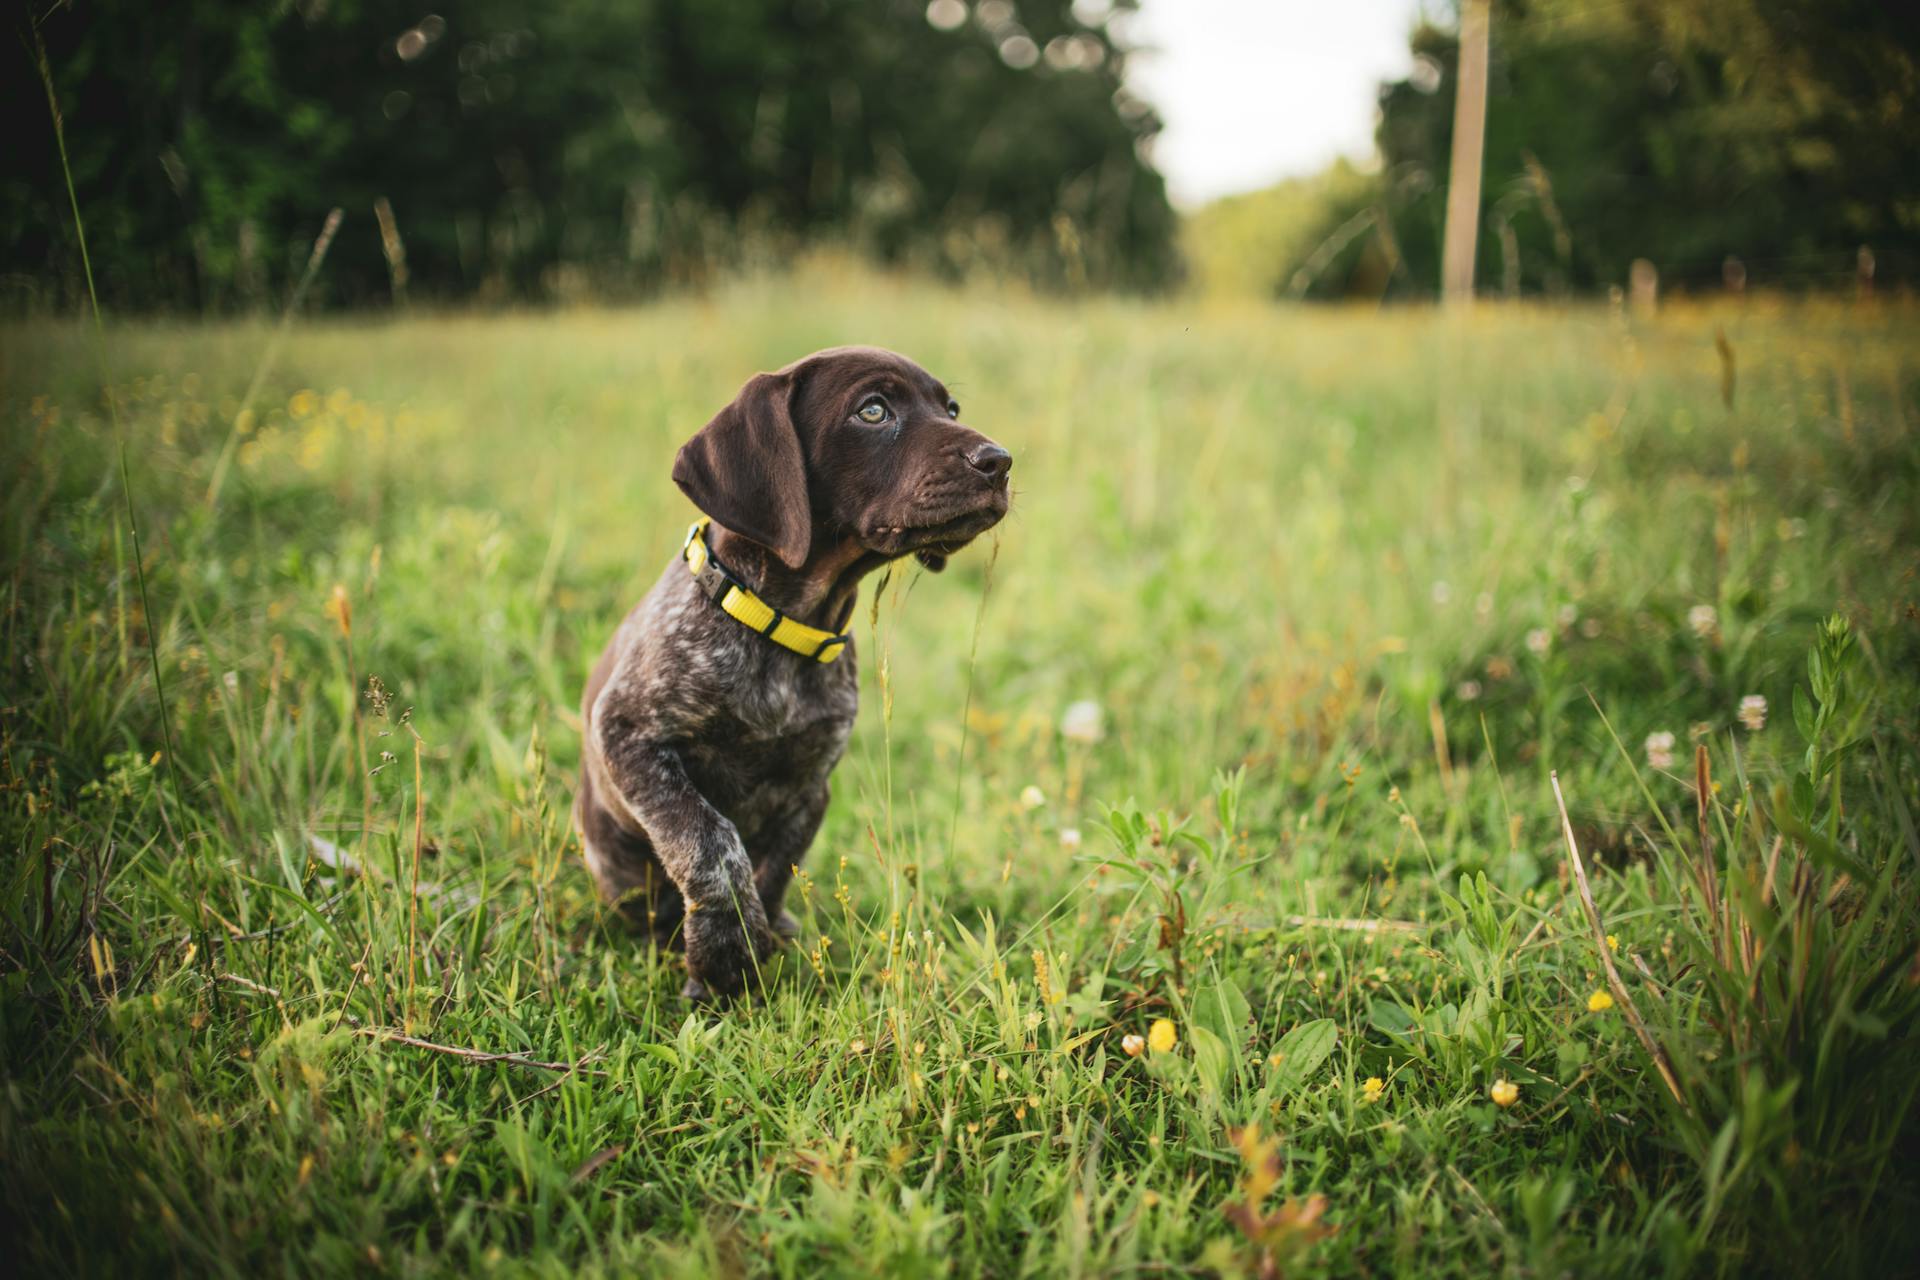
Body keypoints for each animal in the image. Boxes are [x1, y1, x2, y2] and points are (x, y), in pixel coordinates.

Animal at [576, 347, 1013, 997]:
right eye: (873, 410)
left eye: (952, 409)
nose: (1000, 462)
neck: (782, 629)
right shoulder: (629, 735)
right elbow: (706, 837)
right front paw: (724, 956)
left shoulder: (811, 781)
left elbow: (775, 867)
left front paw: (763, 944)